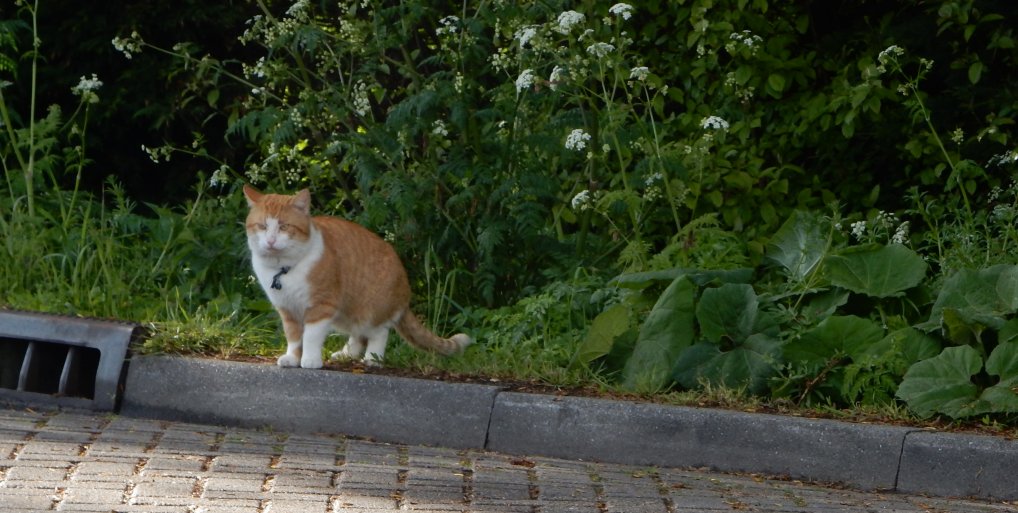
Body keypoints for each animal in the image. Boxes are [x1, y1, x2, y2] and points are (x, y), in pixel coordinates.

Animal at [242, 186, 472, 366]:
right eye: (262, 226)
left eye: (283, 226)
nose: (271, 241)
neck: (285, 269)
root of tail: (404, 289)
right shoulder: (288, 310)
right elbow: (293, 337)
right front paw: (292, 358)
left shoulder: (321, 306)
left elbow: (310, 337)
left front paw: (309, 360)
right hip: (346, 312)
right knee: (358, 335)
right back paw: (346, 354)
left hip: (369, 309)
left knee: (379, 333)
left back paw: (372, 359)